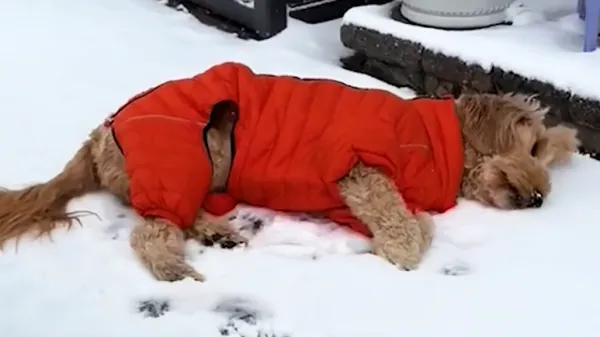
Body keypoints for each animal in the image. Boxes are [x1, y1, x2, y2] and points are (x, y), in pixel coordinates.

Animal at [0, 82, 580, 280]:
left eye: (546, 162)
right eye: (533, 148)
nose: (537, 199)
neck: (444, 140)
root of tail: (100, 134)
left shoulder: (351, 199)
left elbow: (416, 225)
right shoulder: (361, 170)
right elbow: (407, 230)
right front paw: (399, 248)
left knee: (177, 216)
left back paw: (216, 232)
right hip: (205, 143)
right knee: (152, 229)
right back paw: (172, 266)